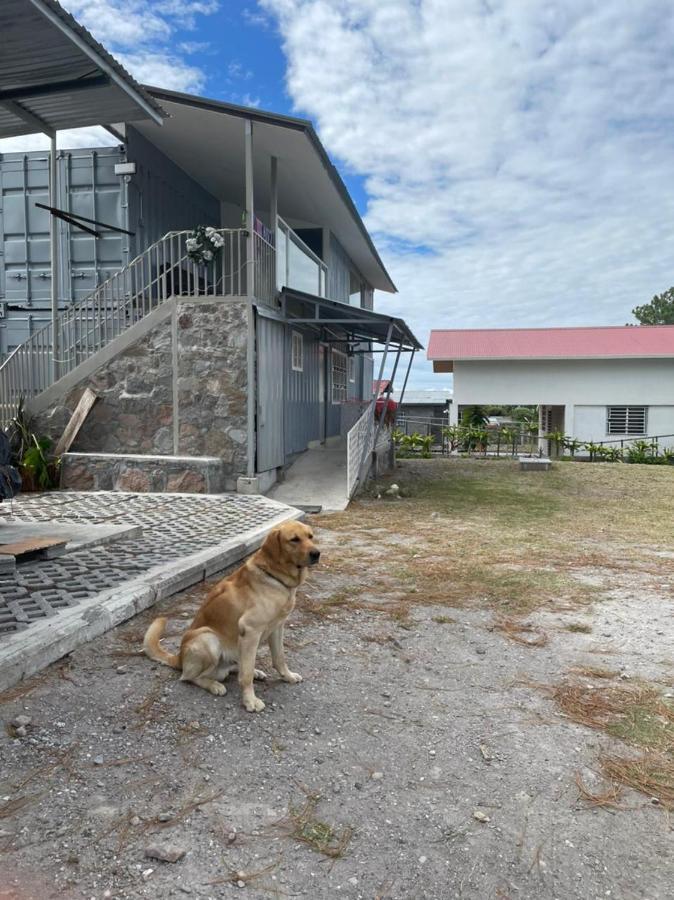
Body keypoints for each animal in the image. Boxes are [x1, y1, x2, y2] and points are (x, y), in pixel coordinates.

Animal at [141, 520, 318, 712]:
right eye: (294, 539)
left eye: (310, 536)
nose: (317, 554)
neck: (274, 577)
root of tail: (179, 658)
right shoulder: (250, 630)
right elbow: (246, 675)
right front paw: (250, 700)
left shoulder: (277, 627)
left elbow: (279, 658)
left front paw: (288, 676)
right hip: (208, 638)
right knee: (190, 677)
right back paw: (214, 685)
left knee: (237, 665)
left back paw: (254, 672)